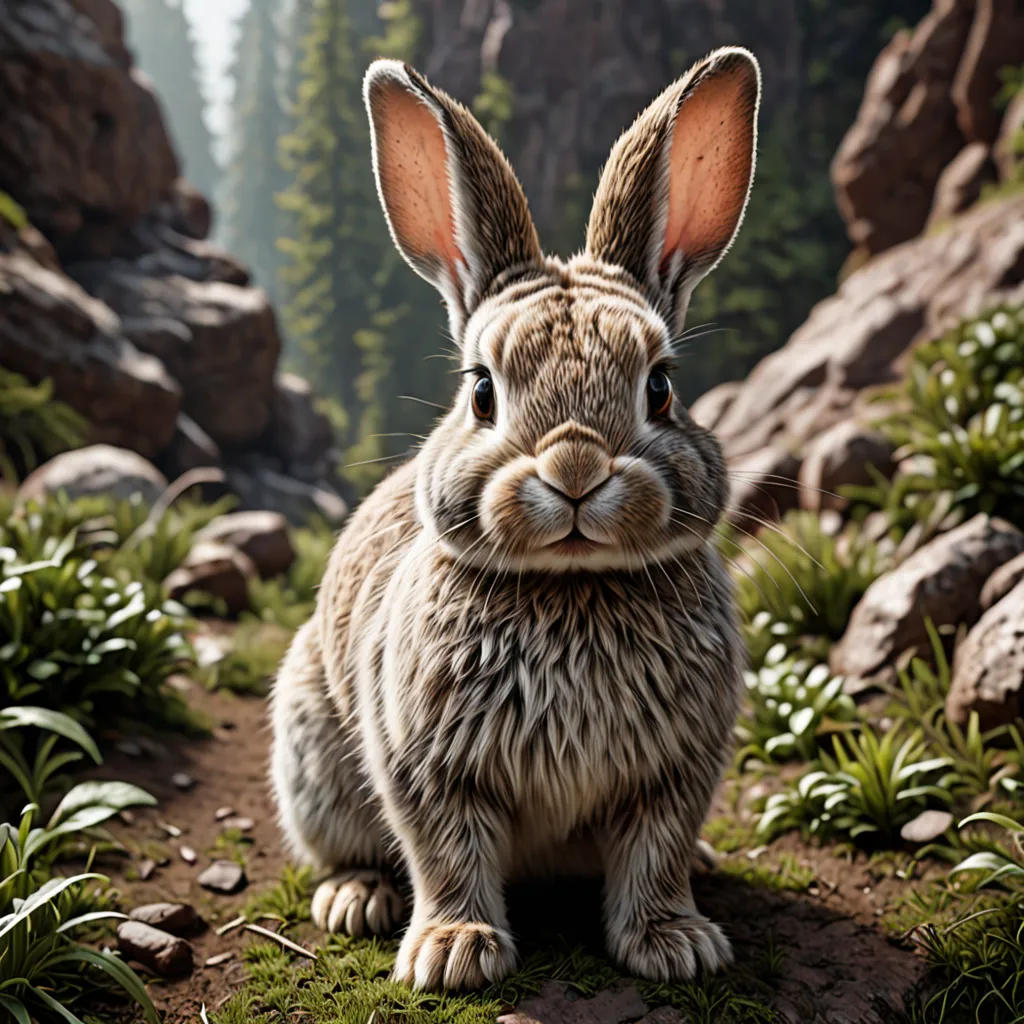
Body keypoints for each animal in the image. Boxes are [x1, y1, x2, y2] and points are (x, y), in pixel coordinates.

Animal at [270, 45, 761, 992]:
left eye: (661, 387)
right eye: (481, 392)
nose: (574, 470)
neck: (570, 586)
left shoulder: (676, 771)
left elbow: (656, 850)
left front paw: (676, 944)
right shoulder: (426, 765)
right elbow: (444, 851)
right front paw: (454, 953)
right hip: (310, 744)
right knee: (347, 846)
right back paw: (356, 899)